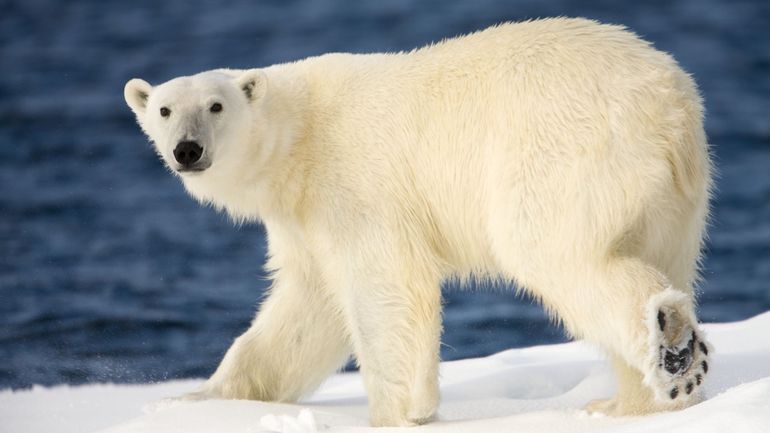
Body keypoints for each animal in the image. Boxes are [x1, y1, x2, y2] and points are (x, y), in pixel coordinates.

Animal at [121, 18, 712, 426]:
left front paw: (398, 413)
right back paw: (630, 402)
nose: (187, 150)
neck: (299, 138)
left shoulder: (354, 183)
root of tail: (669, 107)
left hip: (560, 153)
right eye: (165, 110)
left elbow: (385, 285)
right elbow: (306, 308)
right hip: (674, 199)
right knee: (660, 254)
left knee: (556, 252)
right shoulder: (302, 217)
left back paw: (670, 348)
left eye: (216, 106)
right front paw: (202, 398)